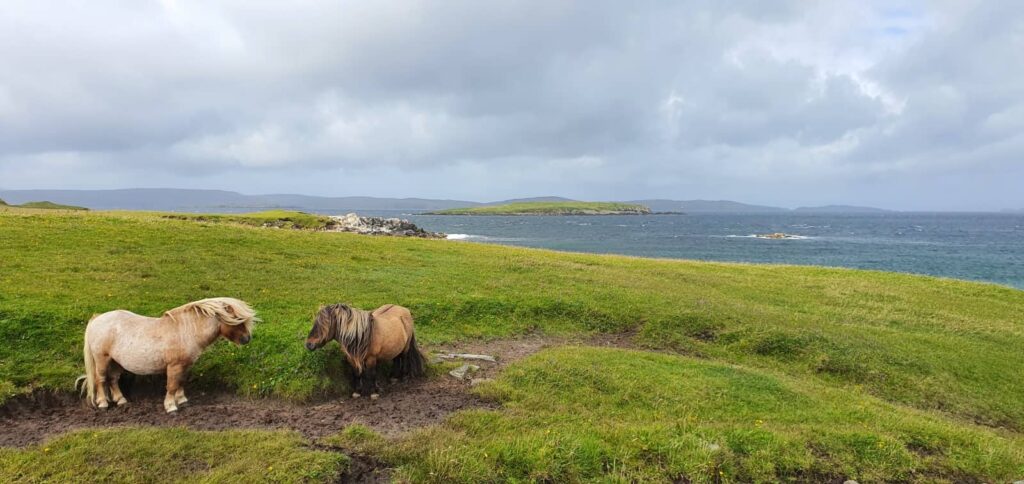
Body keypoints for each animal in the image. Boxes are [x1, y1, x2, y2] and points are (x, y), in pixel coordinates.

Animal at [78, 297, 258, 413]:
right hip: (102, 359)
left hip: (116, 362)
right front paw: (171, 406)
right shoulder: (174, 366)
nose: (247, 339)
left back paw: (121, 401)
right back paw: (103, 404)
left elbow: (180, 382)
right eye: (237, 319)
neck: (186, 331)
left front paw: (182, 401)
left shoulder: (185, 366)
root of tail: (97, 318)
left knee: (113, 380)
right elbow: (171, 385)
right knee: (101, 380)